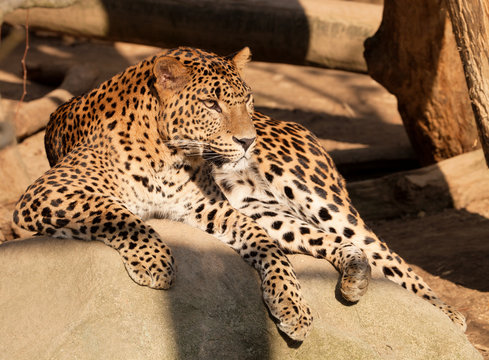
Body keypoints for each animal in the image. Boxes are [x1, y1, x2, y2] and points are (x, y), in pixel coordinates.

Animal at [13, 45, 466, 340]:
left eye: (245, 100)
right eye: (211, 104)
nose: (249, 141)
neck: (167, 152)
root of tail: (289, 123)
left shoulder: (207, 207)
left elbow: (267, 247)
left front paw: (291, 304)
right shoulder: (47, 192)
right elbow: (120, 214)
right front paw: (157, 263)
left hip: (318, 197)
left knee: (387, 254)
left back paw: (449, 318)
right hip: (264, 205)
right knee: (332, 242)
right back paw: (355, 273)